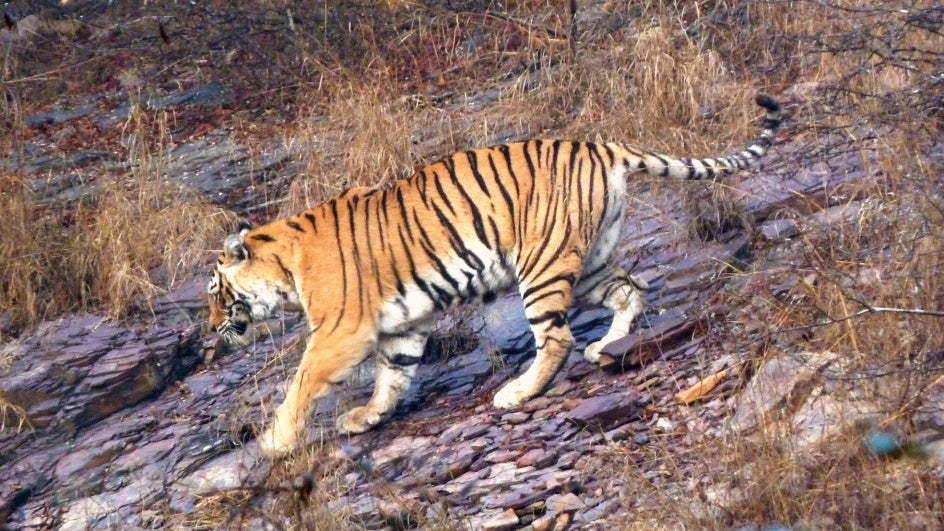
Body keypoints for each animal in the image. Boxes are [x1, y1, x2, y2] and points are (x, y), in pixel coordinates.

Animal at [208, 95, 782, 457]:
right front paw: (368, 417)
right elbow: (393, 375)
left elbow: (301, 384)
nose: (212, 329)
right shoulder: (400, 324)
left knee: (558, 337)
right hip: (588, 261)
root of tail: (600, 145)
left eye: (216, 292)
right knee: (629, 290)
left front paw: (274, 443)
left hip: (541, 264)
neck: (285, 264)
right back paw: (606, 349)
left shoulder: (339, 332)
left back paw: (519, 392)